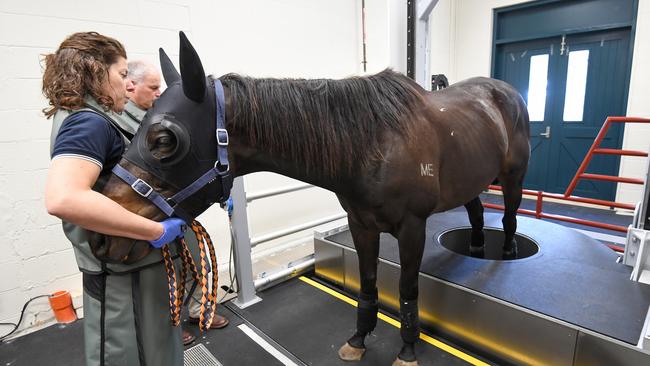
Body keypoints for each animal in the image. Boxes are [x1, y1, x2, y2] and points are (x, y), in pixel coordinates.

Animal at [98, 33, 528, 364]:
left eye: (164, 140)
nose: (104, 238)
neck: (374, 142)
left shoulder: (412, 229)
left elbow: (407, 290)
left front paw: (407, 349)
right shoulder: (361, 225)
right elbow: (368, 286)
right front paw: (358, 340)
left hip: (512, 178)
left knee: (508, 219)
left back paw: (505, 254)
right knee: (477, 215)